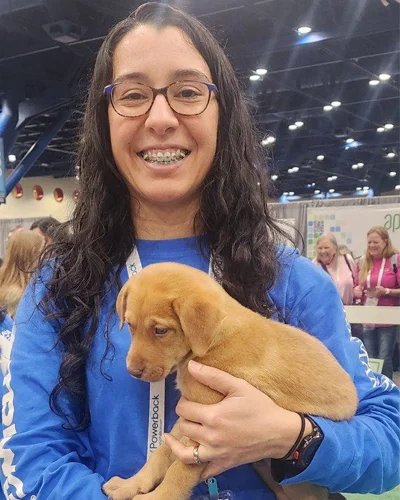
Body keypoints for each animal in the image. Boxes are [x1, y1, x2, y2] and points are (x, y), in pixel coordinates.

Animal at [104, 262, 360, 500]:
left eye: (160, 330)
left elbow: (180, 469)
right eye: (130, 325)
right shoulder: (190, 416)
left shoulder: (204, 422)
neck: (214, 340)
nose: (132, 371)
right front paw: (131, 484)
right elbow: (163, 452)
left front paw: (158, 496)